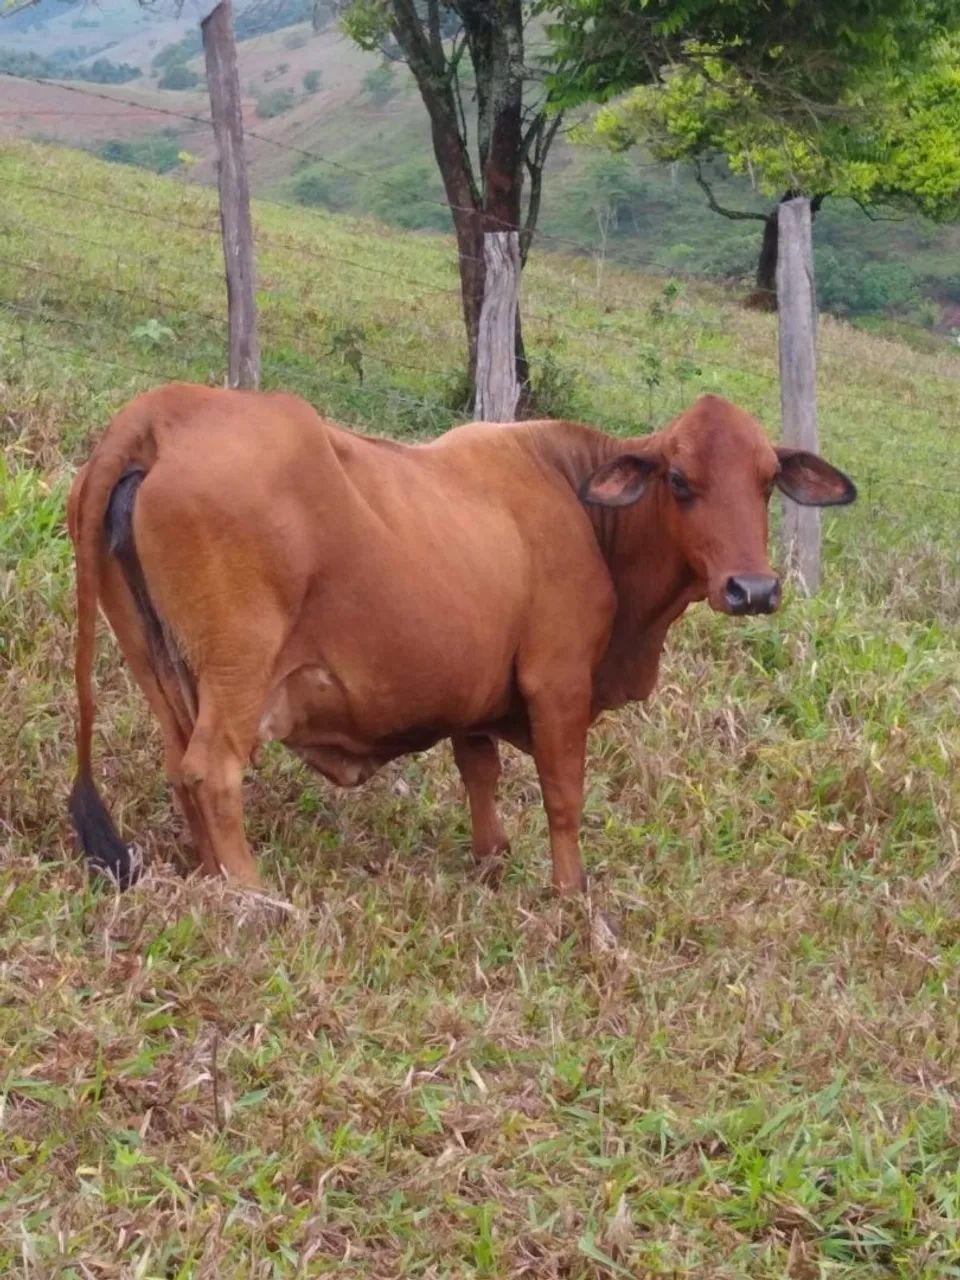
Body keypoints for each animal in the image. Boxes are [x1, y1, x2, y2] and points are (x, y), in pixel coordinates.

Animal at [67, 386, 855, 896]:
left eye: (766, 483)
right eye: (682, 480)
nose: (753, 589)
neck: (587, 513)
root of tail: (167, 411)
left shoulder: (479, 691)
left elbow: (481, 774)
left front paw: (491, 861)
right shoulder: (557, 683)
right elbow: (563, 796)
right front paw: (573, 898)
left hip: (159, 663)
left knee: (180, 767)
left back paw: (211, 875)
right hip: (239, 668)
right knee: (211, 770)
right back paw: (253, 893)